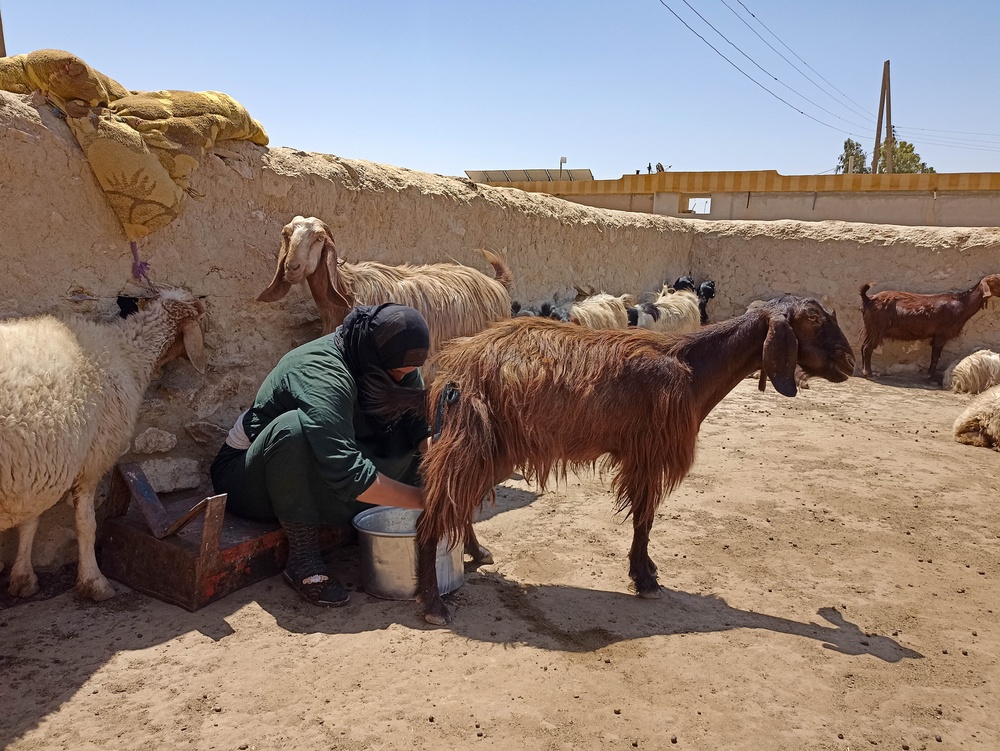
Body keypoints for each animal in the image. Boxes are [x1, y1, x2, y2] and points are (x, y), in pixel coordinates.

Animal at [0, 288, 207, 600]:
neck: (128, 353)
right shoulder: (93, 459)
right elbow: (86, 523)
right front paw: (94, 582)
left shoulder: (39, 465)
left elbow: (30, 520)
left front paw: (23, 579)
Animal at [414, 296, 852, 624]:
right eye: (813, 320)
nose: (849, 362)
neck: (693, 366)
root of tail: (456, 363)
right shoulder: (648, 453)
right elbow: (645, 519)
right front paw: (645, 580)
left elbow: (645, 518)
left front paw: (648, 572)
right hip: (474, 439)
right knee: (433, 512)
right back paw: (433, 603)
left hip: (495, 449)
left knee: (458, 500)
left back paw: (474, 552)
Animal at [856, 276, 1000, 382]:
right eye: (997, 280)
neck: (962, 303)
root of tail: (868, 299)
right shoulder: (941, 333)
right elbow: (935, 356)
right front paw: (930, 377)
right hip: (876, 328)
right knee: (867, 348)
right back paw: (869, 374)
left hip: (871, 328)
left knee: (863, 347)